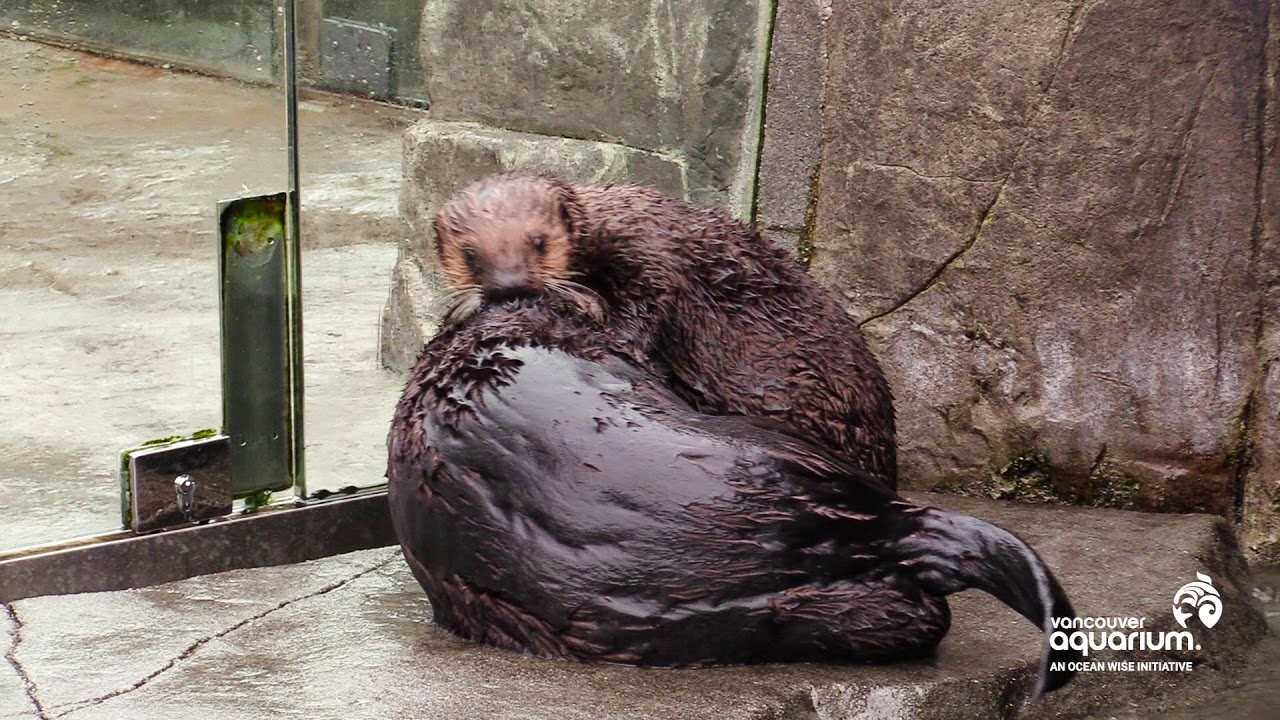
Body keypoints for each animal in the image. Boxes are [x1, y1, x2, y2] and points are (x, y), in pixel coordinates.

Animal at [432, 174, 900, 487]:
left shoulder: (647, 255)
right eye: (469, 254)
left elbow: (645, 311)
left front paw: (587, 310)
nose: (509, 285)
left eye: (539, 241)